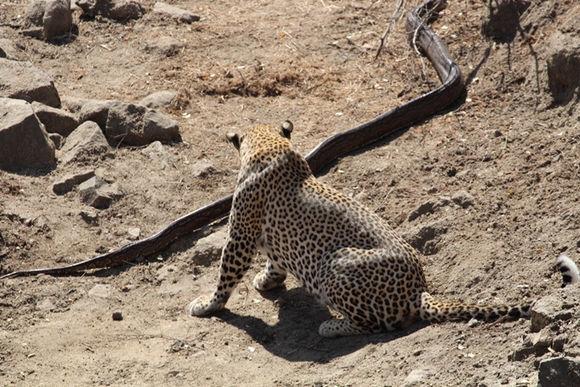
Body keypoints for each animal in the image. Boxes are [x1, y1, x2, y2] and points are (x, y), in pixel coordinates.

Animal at [188, 123, 576, 338]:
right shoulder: (268, 235)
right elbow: (274, 260)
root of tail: (419, 292)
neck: (272, 143)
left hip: (336, 265)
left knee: (371, 325)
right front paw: (266, 281)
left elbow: (225, 273)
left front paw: (207, 305)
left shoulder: (240, 234)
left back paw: (331, 327)